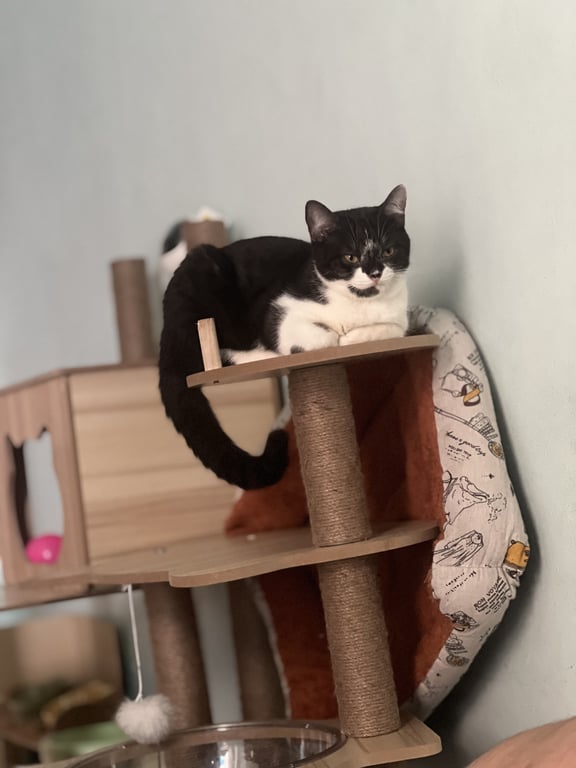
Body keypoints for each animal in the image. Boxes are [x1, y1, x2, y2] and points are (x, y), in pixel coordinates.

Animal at [158, 184, 410, 490]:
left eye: (388, 251)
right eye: (350, 257)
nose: (375, 273)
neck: (358, 303)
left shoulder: (400, 319)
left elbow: (388, 328)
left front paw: (353, 337)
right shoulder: (280, 311)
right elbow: (320, 337)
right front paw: (337, 337)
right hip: (202, 289)